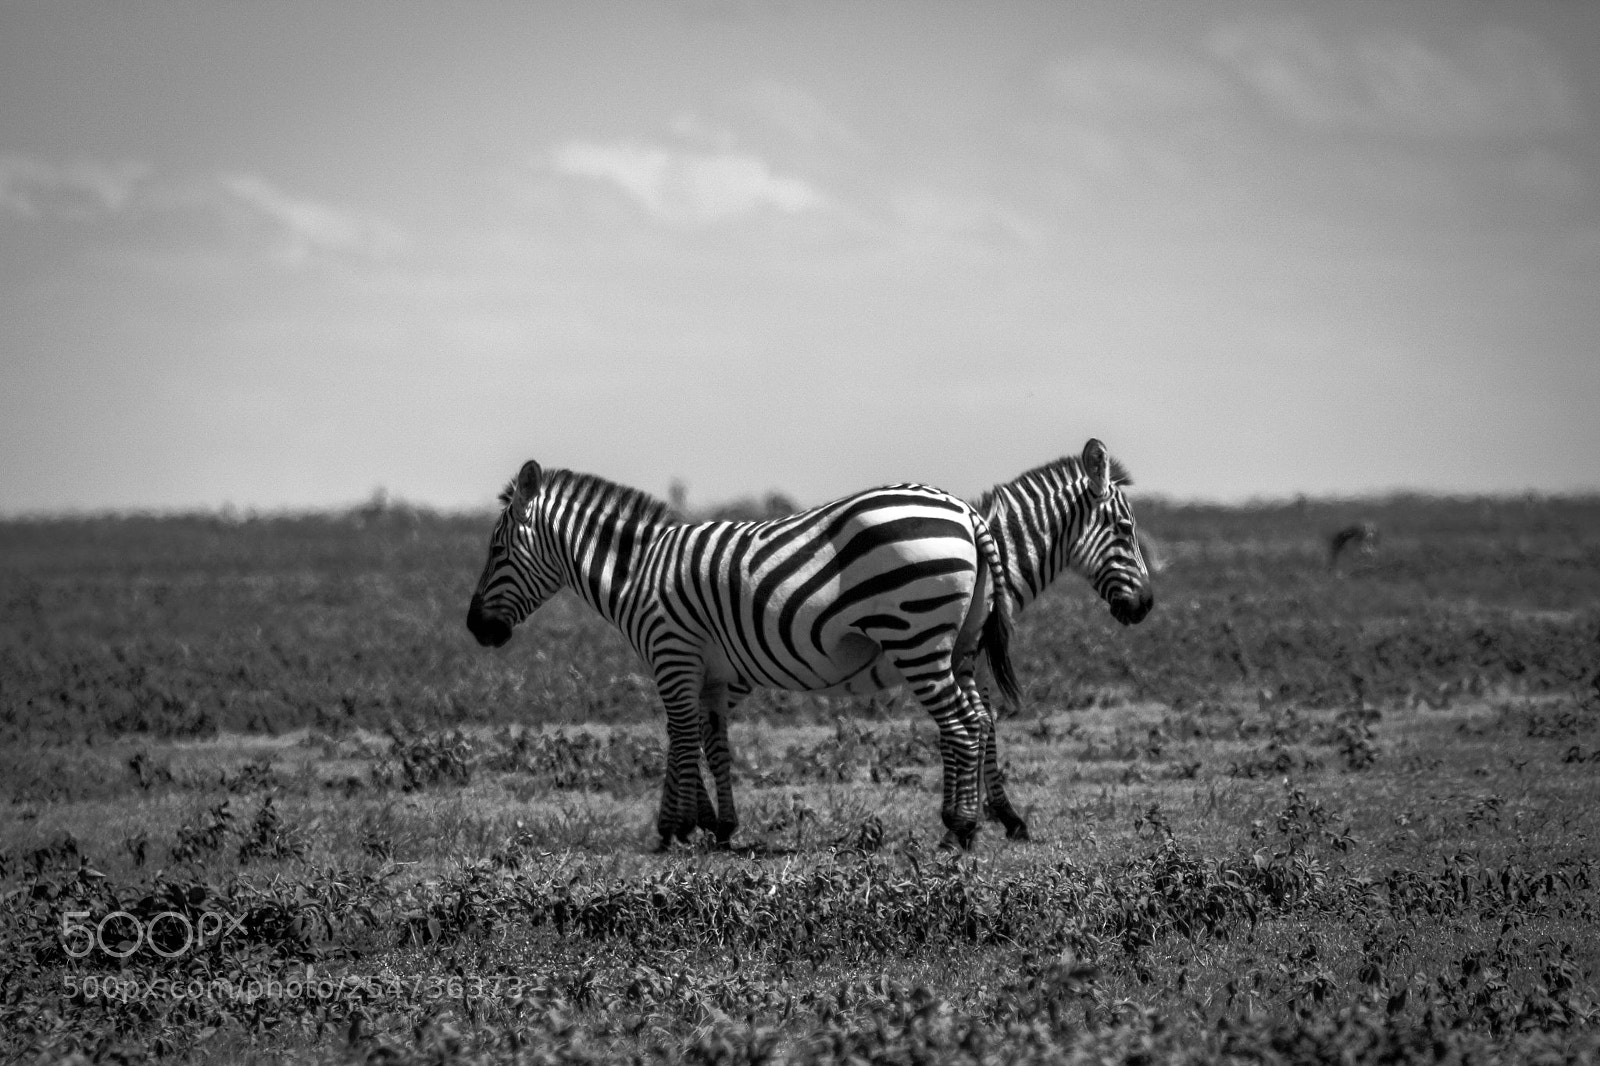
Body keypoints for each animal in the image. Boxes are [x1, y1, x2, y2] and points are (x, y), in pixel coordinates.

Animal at [466, 461, 1020, 851]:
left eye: (496, 552)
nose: (474, 628)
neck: (637, 573)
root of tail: (966, 512)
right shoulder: (710, 673)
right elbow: (713, 743)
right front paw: (719, 825)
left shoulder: (673, 654)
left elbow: (681, 737)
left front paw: (674, 827)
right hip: (959, 645)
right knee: (976, 717)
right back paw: (970, 822)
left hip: (915, 635)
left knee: (960, 726)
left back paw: (958, 829)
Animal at [693, 437, 1154, 842]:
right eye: (1125, 528)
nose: (1146, 605)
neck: (997, 556)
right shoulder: (956, 655)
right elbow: (980, 726)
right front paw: (996, 816)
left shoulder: (960, 657)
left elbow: (973, 725)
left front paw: (978, 814)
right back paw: (699, 823)